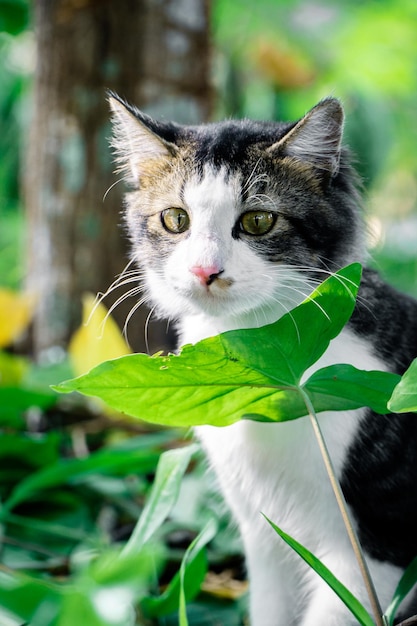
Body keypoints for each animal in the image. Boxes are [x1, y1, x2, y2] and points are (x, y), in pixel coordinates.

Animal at [108, 94, 416, 624]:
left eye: (257, 221)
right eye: (175, 220)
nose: (205, 270)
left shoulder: (378, 543)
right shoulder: (264, 533)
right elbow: (270, 607)